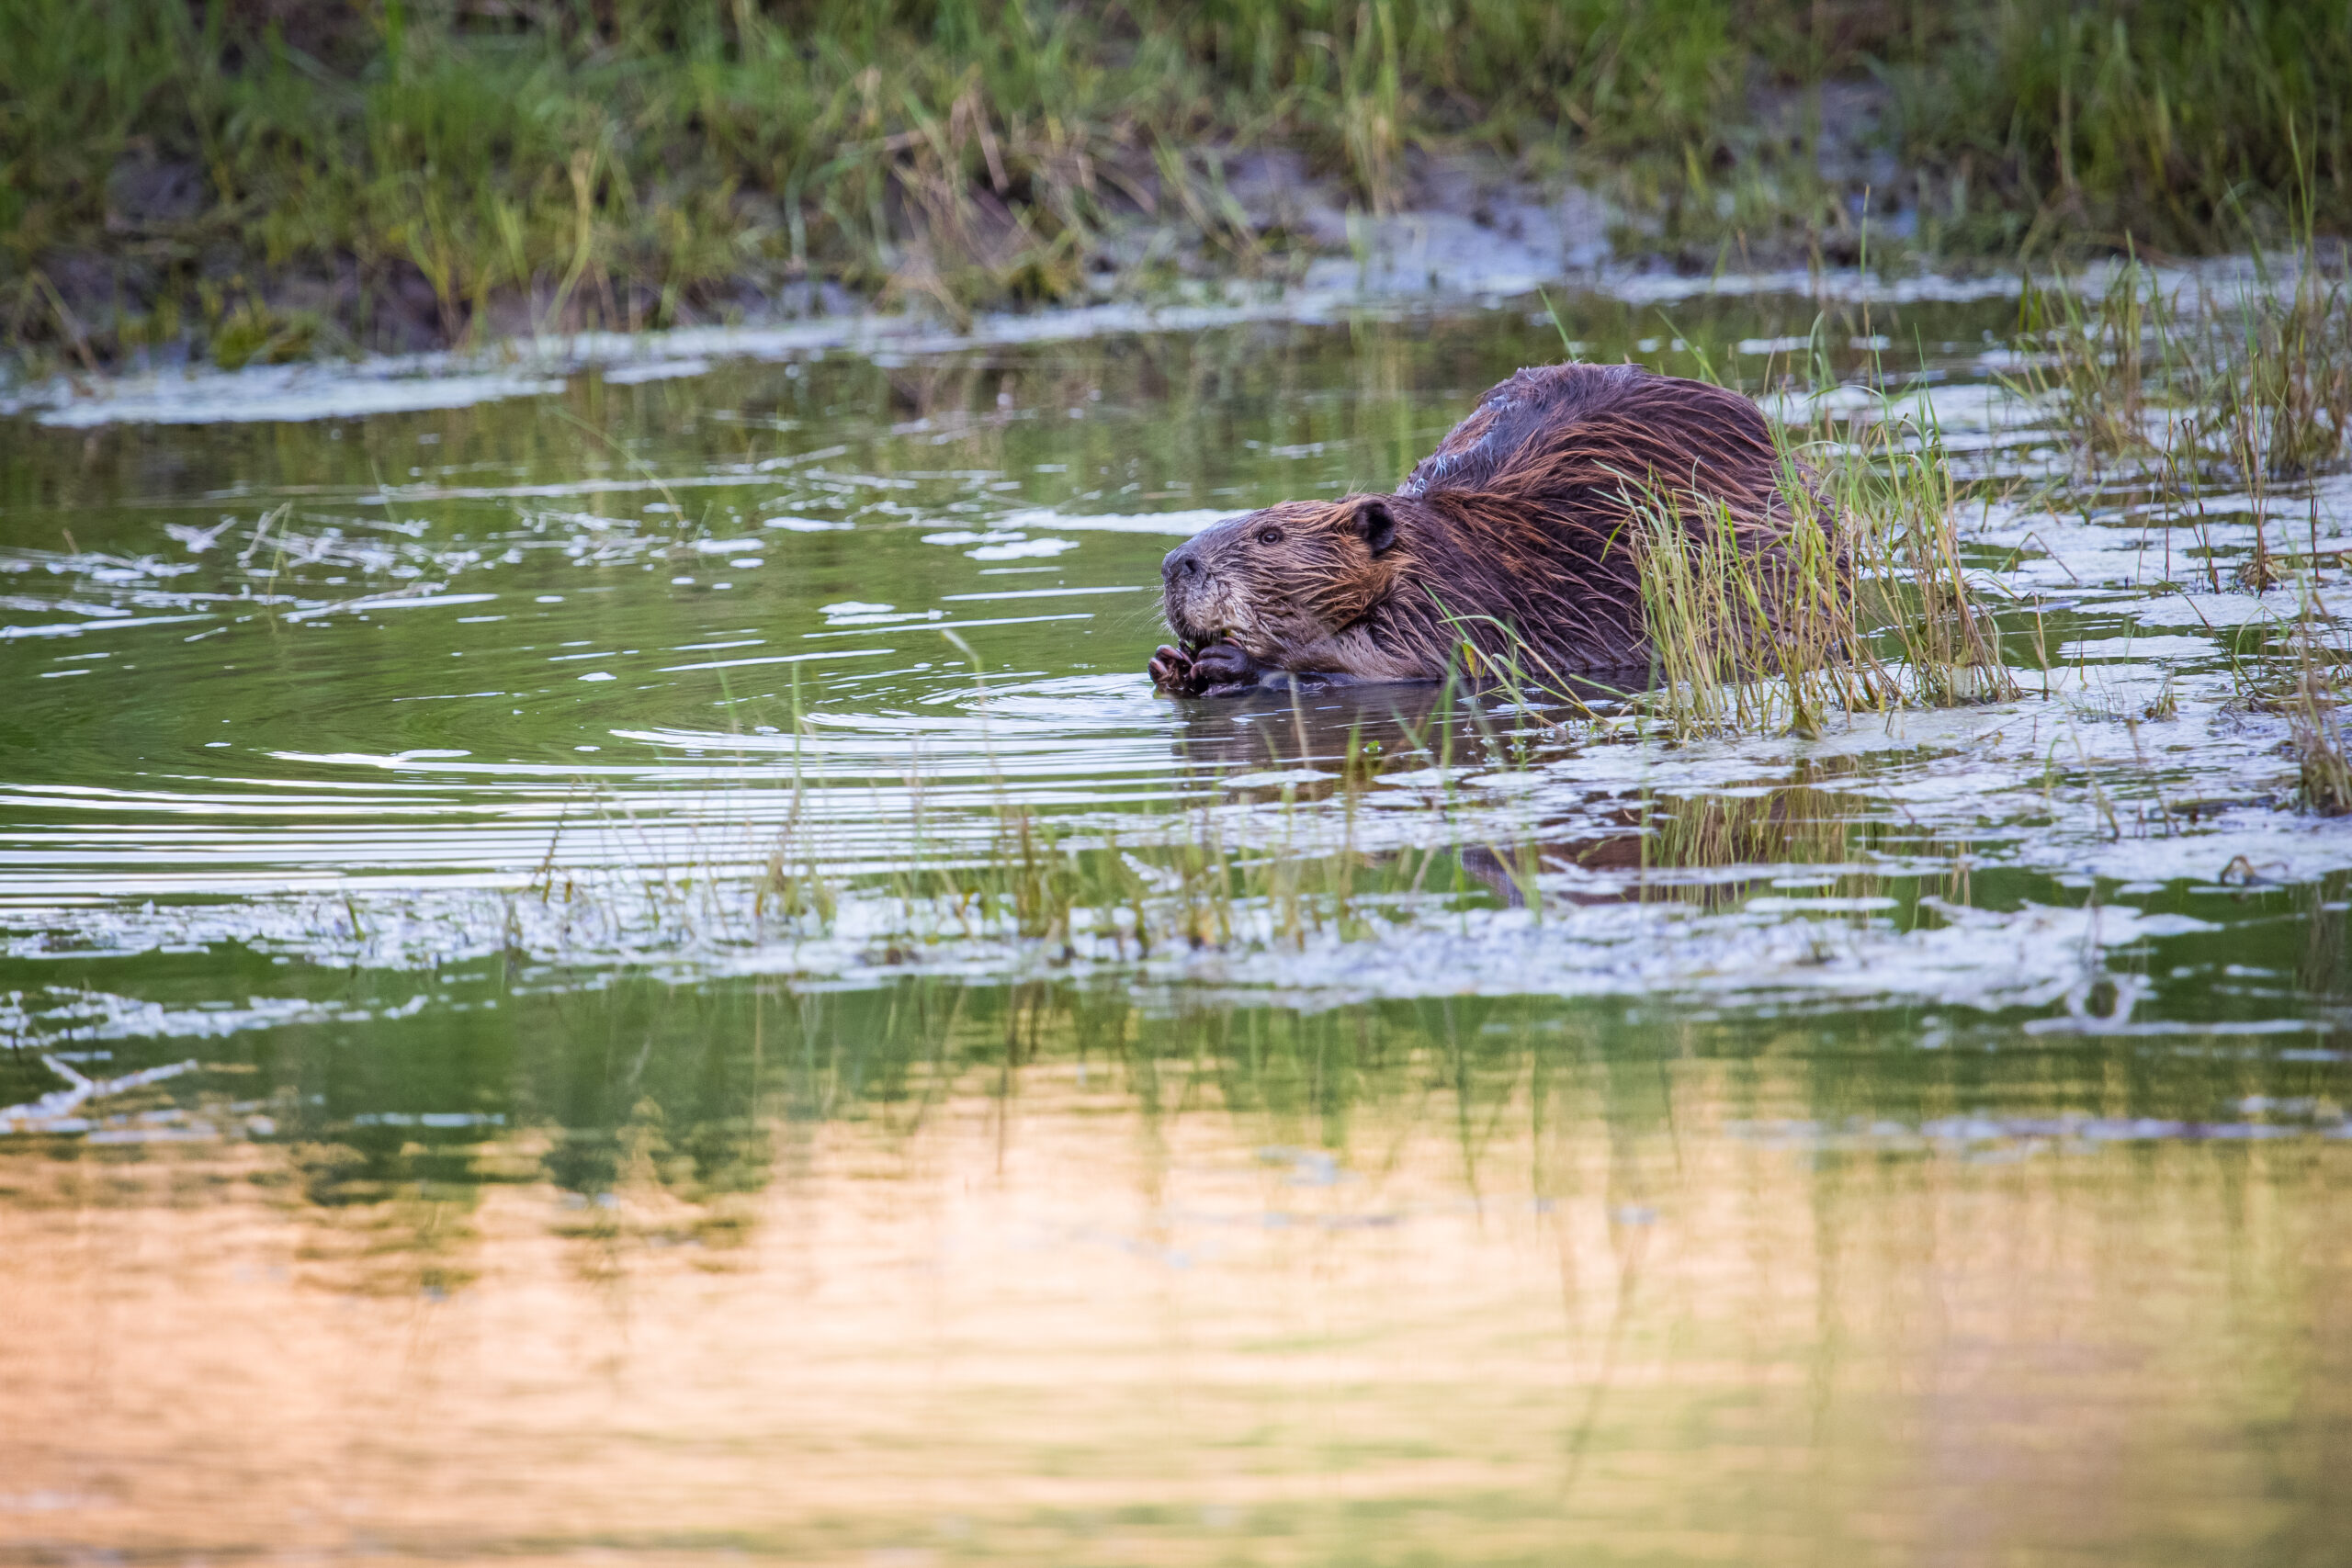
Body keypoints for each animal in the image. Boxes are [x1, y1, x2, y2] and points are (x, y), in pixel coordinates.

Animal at [1148, 364, 1806, 695]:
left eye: (1270, 537)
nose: (1177, 563)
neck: (1446, 542)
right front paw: (1169, 662)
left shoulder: (1458, 599)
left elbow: (1411, 663)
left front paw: (1233, 662)